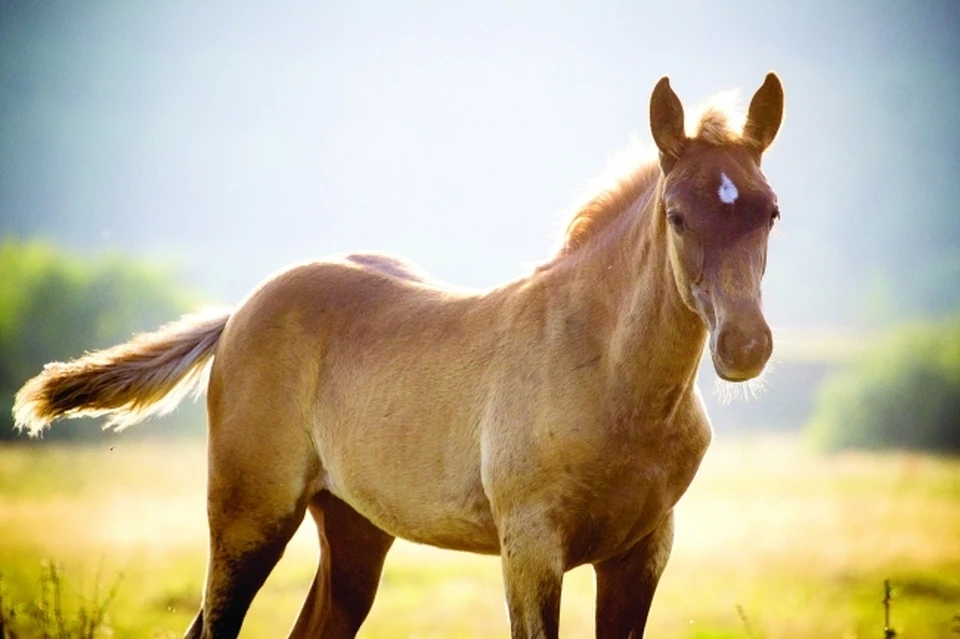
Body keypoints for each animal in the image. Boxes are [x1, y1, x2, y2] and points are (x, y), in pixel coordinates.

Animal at [11, 72, 784, 636]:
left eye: (770, 211)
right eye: (677, 216)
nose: (745, 346)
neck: (615, 382)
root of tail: (238, 314)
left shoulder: (642, 552)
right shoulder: (532, 549)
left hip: (353, 529)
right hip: (247, 517)